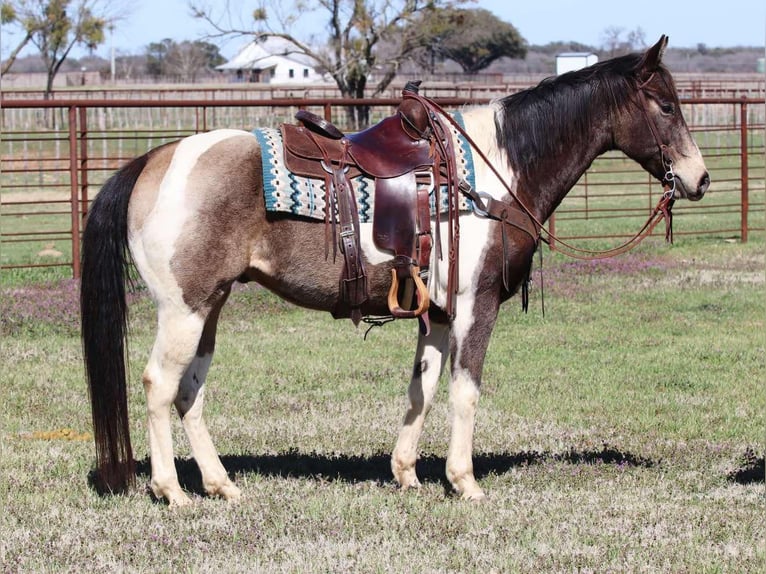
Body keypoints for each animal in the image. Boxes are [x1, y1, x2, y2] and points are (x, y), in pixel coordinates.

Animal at [81, 36, 712, 506]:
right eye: (665, 106)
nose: (699, 178)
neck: (495, 173)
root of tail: (153, 161)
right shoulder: (477, 303)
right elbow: (464, 390)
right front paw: (465, 482)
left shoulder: (438, 311)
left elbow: (422, 388)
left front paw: (406, 473)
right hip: (183, 309)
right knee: (160, 385)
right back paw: (171, 491)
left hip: (208, 307)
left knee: (190, 391)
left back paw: (220, 485)